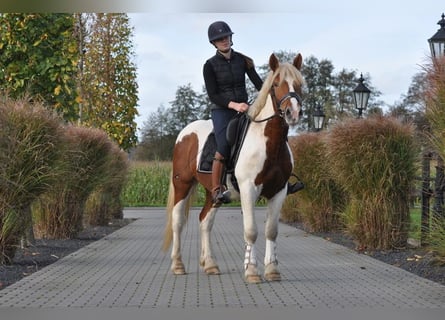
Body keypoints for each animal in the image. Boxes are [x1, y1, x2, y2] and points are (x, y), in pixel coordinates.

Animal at [161, 53, 304, 284]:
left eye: (299, 84)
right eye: (275, 84)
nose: (293, 113)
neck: (269, 142)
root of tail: (185, 133)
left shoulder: (279, 191)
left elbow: (271, 231)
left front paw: (272, 270)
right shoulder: (248, 189)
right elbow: (251, 230)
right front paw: (252, 271)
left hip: (213, 193)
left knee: (205, 221)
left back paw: (210, 265)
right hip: (182, 184)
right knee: (178, 222)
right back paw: (178, 265)